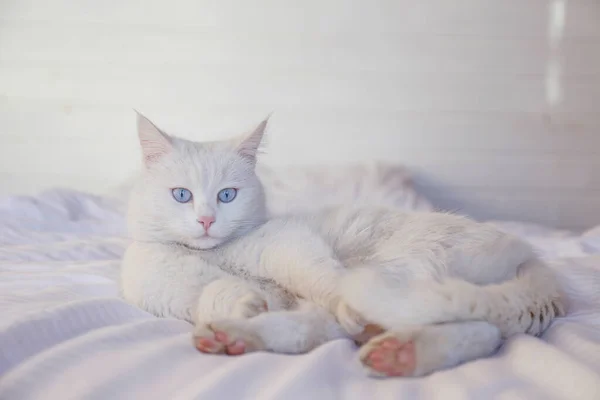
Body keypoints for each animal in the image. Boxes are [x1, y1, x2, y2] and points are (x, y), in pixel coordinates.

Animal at [122, 113, 568, 378]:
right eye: (181, 195)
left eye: (227, 195)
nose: (206, 221)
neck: (209, 255)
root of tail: (533, 259)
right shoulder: (170, 291)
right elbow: (211, 294)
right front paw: (241, 301)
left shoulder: (289, 246)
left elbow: (324, 281)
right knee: (310, 331)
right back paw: (233, 337)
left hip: (405, 269)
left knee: (475, 327)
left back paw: (398, 351)